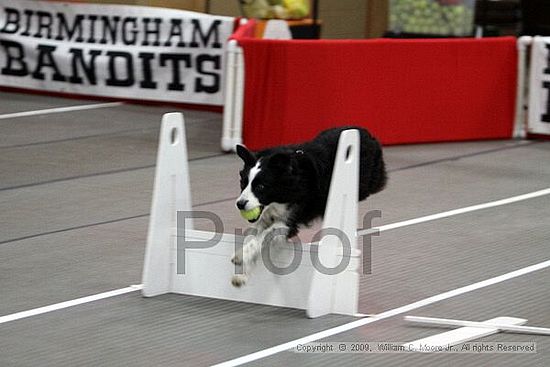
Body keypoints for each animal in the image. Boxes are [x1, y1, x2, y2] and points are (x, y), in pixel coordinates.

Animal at [233, 126, 388, 288]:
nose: (240, 204)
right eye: (243, 183)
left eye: (261, 187)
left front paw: (242, 255)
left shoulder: (290, 220)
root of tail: (364, 131)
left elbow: (265, 234)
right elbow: (256, 236)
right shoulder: (266, 218)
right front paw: (243, 274)